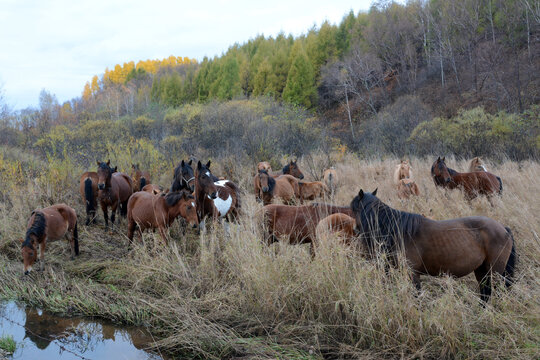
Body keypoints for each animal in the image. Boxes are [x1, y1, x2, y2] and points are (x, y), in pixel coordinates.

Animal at [350, 190, 516, 302]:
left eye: (353, 209)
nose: (355, 230)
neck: (397, 230)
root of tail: (503, 228)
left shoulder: (412, 274)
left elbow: (416, 296)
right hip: (482, 270)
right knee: (485, 292)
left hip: (495, 272)